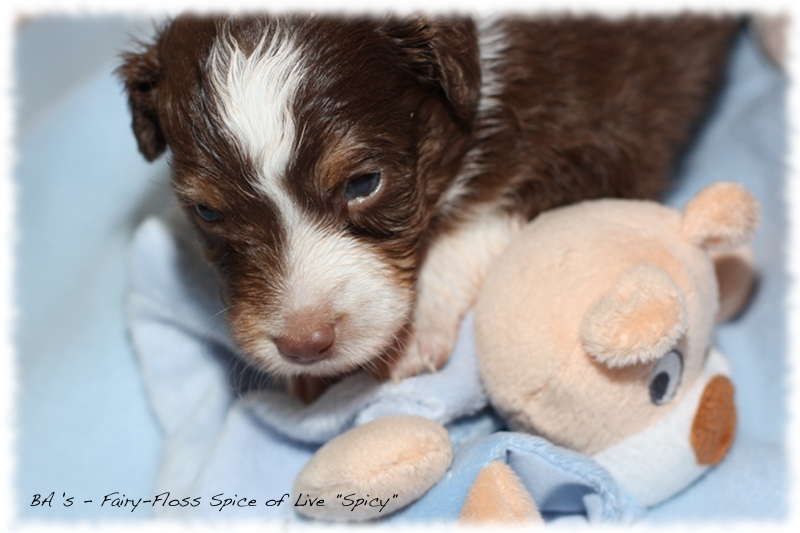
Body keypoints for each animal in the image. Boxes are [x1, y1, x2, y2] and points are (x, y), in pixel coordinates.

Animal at [117, 12, 736, 400]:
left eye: (364, 183)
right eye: (208, 213)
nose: (305, 346)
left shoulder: (607, 141)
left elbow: (478, 224)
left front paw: (412, 334)